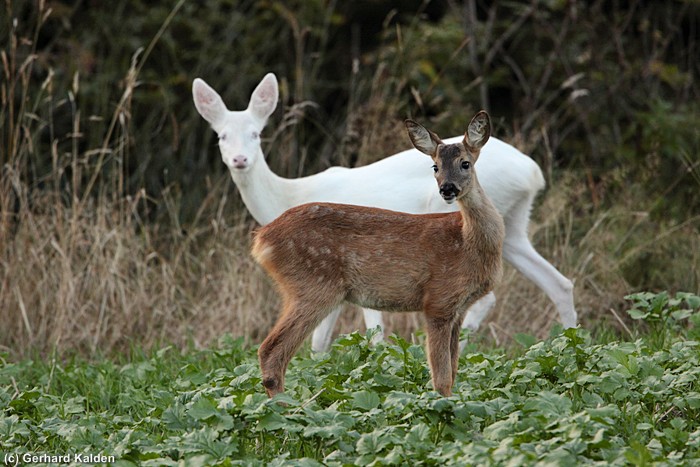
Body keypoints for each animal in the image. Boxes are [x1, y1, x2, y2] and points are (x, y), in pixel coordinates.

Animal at [192, 73, 576, 352]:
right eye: (221, 136)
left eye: (257, 135)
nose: (240, 159)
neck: (290, 194)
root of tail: (532, 172)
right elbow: (319, 342)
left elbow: (372, 329)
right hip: (512, 227)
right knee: (560, 283)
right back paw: (573, 348)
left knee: (488, 296)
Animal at [252, 112, 504, 397]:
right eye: (435, 167)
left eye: (465, 163)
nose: (447, 189)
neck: (467, 242)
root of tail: (262, 238)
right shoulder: (439, 299)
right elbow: (441, 378)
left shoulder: (458, 309)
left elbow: (453, 371)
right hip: (313, 284)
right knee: (271, 350)